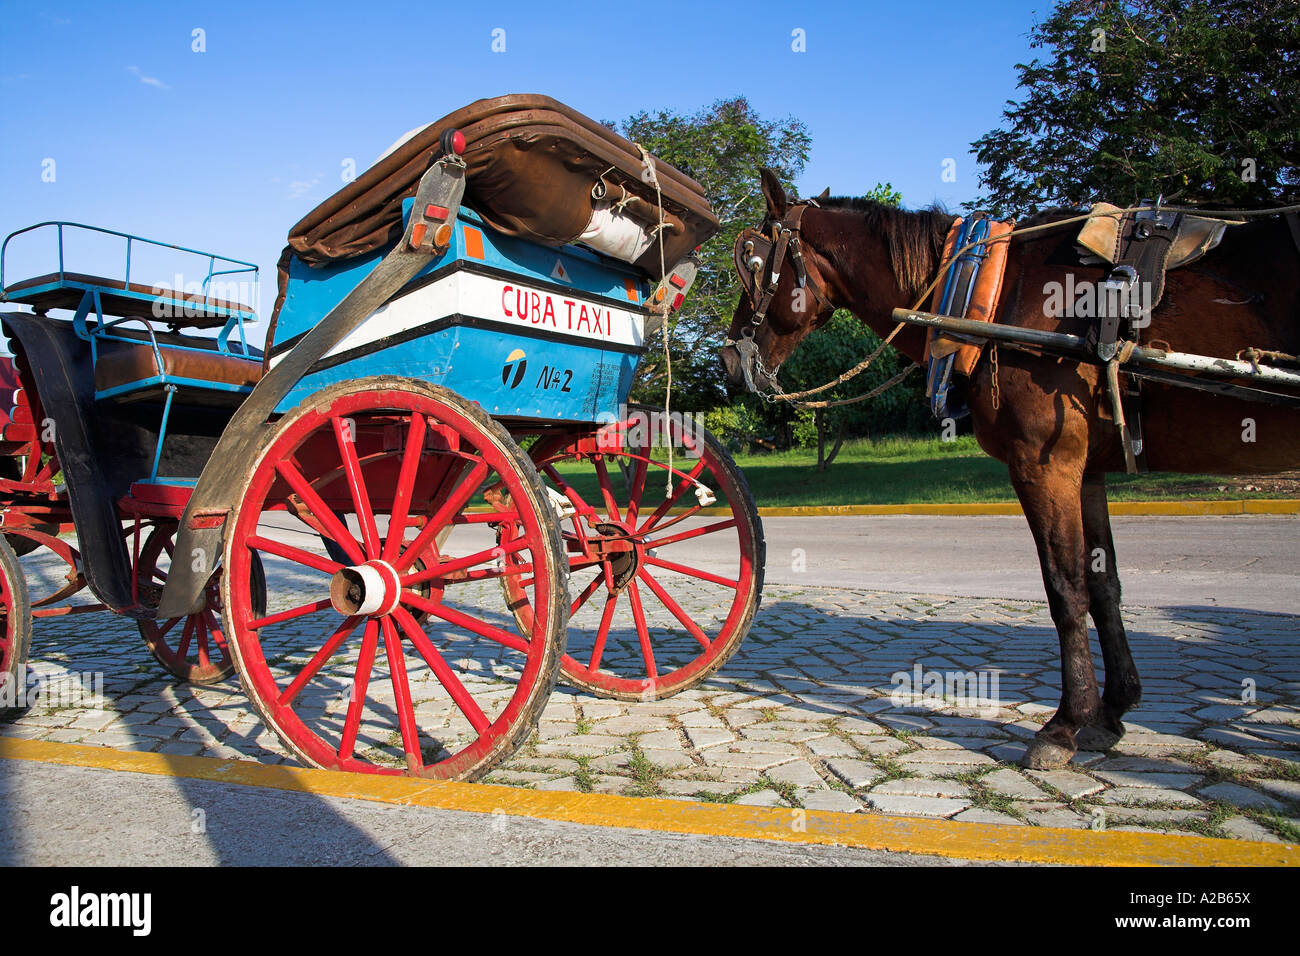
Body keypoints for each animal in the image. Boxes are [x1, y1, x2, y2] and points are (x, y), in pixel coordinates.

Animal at [722, 170, 1300, 770]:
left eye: (753, 260)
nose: (728, 358)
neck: (996, 288)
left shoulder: (1044, 463)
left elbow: (1066, 590)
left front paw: (1065, 725)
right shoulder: (1085, 470)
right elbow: (1104, 584)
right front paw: (1112, 710)